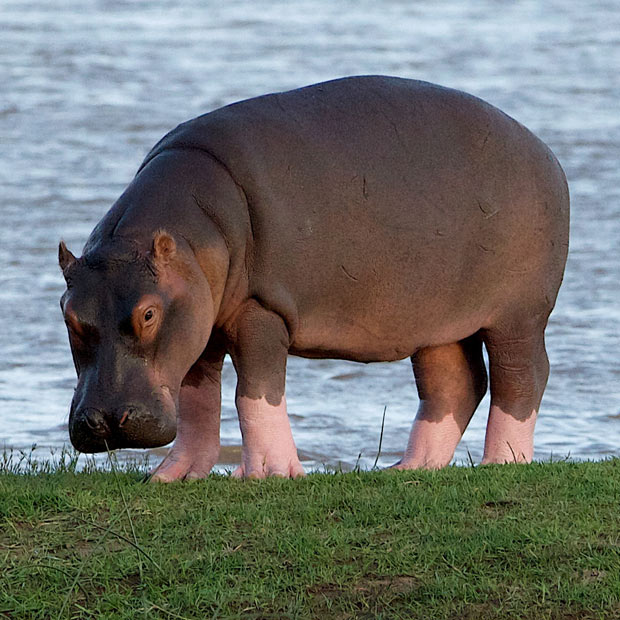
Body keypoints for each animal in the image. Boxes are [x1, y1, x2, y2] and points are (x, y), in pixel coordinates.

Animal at [58, 76, 568, 480]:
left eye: (148, 314)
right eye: (68, 315)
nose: (106, 421)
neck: (190, 236)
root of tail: (542, 149)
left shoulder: (260, 308)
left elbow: (254, 391)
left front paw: (266, 475)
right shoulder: (198, 323)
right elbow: (198, 399)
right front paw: (172, 477)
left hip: (519, 314)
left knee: (522, 376)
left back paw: (503, 463)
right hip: (437, 322)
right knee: (454, 383)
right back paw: (407, 469)